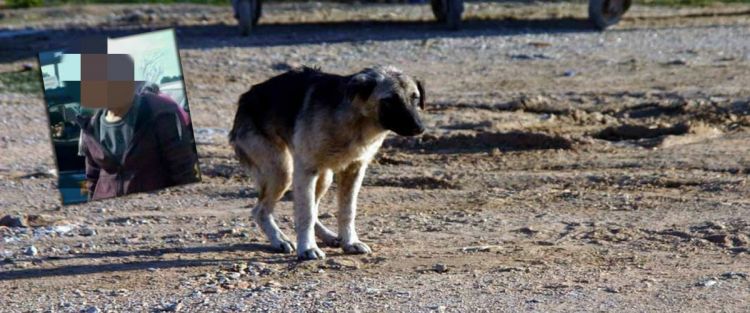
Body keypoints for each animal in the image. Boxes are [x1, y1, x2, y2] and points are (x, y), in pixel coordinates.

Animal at [229, 65, 426, 258]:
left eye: (415, 99)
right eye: (390, 100)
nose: (420, 128)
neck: (355, 121)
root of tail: (245, 98)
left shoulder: (354, 170)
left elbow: (347, 210)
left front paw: (350, 242)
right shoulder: (306, 170)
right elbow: (306, 213)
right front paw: (308, 248)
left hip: (324, 178)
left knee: (307, 209)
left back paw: (328, 237)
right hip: (282, 172)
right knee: (261, 211)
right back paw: (279, 240)